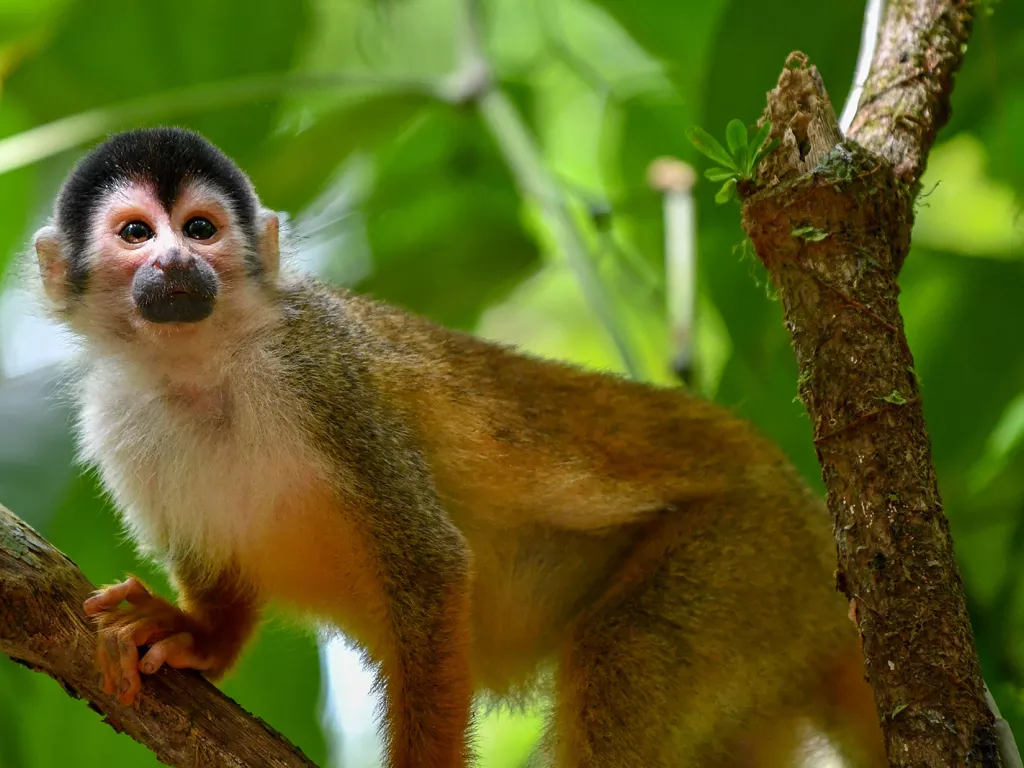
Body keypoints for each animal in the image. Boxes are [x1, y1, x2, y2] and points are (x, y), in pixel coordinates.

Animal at [32, 129, 880, 765]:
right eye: (136, 233)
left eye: (201, 229)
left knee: (626, 647)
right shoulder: (115, 419)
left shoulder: (324, 378)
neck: (203, 368)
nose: (177, 262)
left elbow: (428, 563)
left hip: (747, 554)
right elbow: (214, 557)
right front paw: (198, 636)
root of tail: (819, 541)